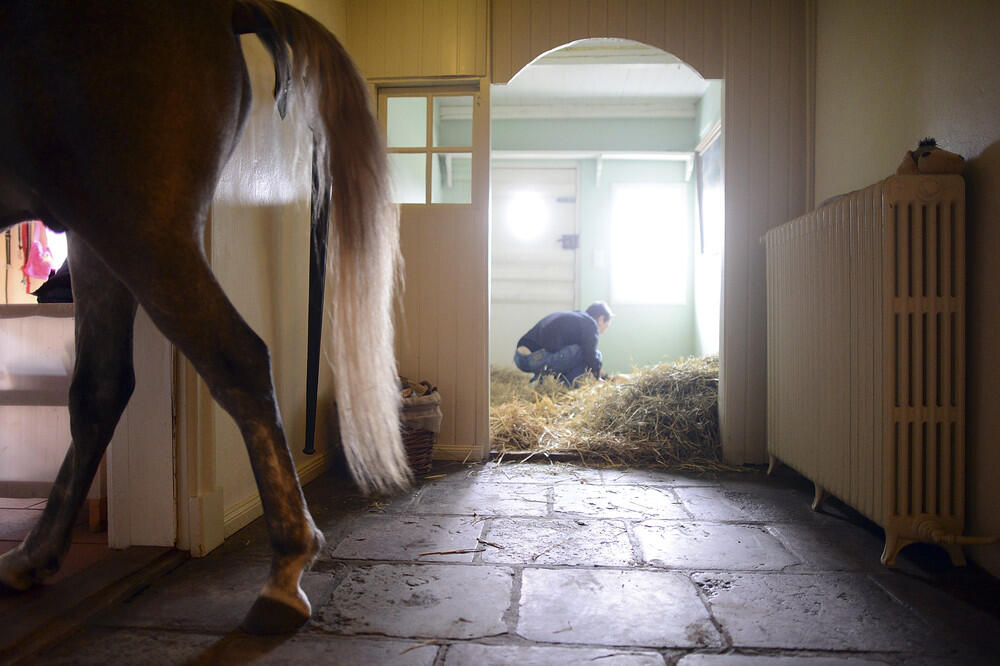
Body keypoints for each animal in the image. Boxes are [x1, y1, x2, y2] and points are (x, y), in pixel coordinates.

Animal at [0, 1, 410, 632]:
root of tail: (220, 7)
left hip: (134, 224)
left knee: (234, 357)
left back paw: (286, 568)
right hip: (100, 231)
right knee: (101, 385)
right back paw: (34, 556)